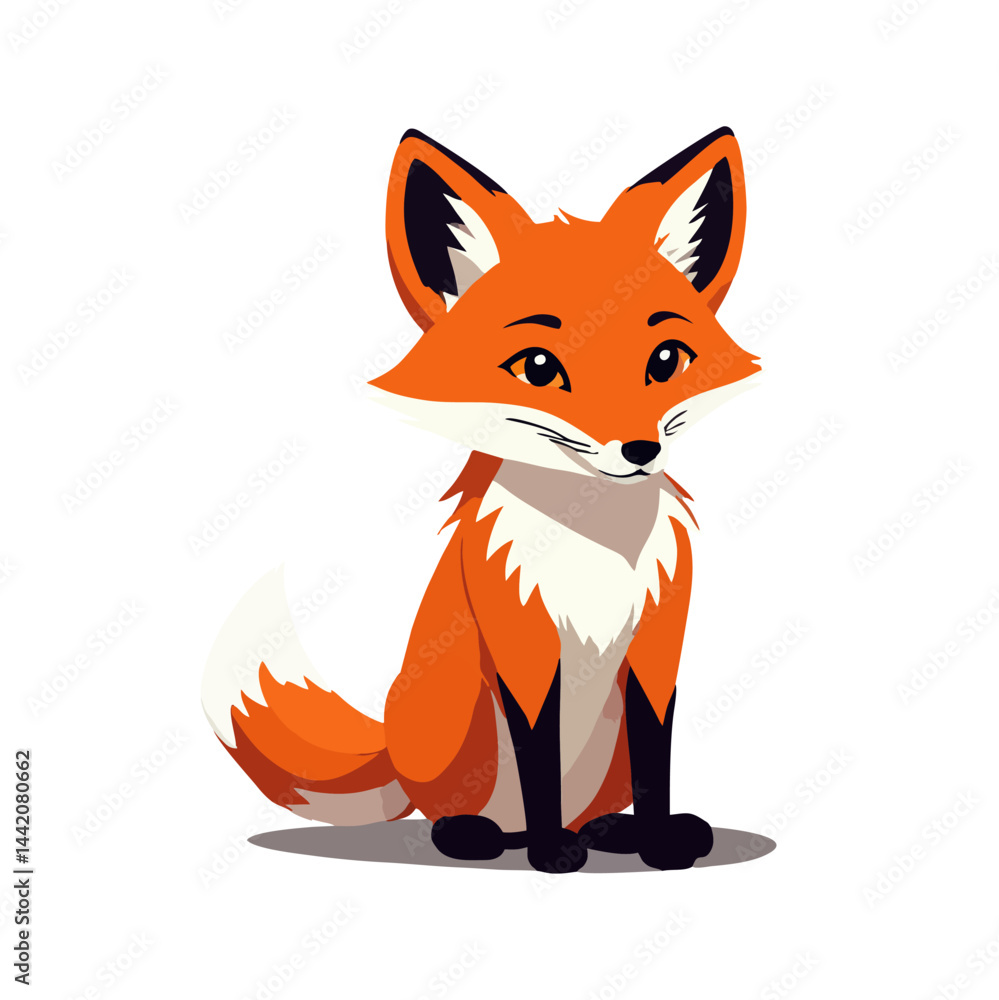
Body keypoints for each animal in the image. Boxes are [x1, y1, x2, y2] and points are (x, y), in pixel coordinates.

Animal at [202, 126, 760, 873]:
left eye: (666, 360)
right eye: (538, 368)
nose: (640, 450)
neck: (594, 550)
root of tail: (392, 744)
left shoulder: (657, 643)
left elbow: (656, 757)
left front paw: (659, 840)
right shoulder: (522, 643)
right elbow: (538, 757)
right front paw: (552, 854)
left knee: (590, 807)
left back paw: (607, 831)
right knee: (459, 814)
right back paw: (487, 836)